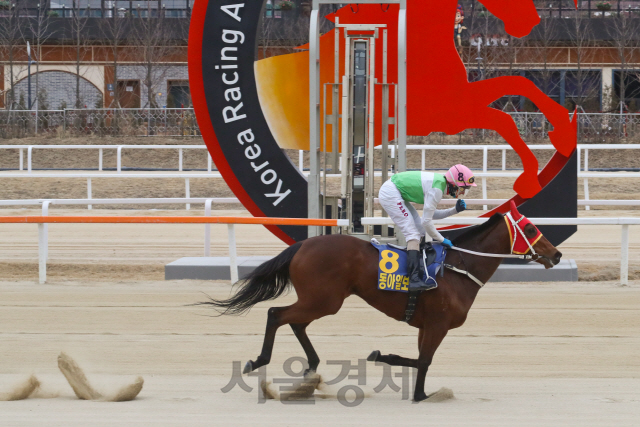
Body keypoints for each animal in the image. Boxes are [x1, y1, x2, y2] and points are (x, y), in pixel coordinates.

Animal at [204, 202, 560, 402]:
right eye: (530, 228)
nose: (556, 254)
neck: (458, 269)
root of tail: (302, 246)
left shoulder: (426, 325)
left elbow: (420, 360)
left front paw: (410, 383)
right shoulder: (438, 325)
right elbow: (424, 361)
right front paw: (414, 389)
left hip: (321, 300)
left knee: (296, 323)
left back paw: (311, 371)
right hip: (324, 300)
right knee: (277, 314)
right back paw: (259, 361)